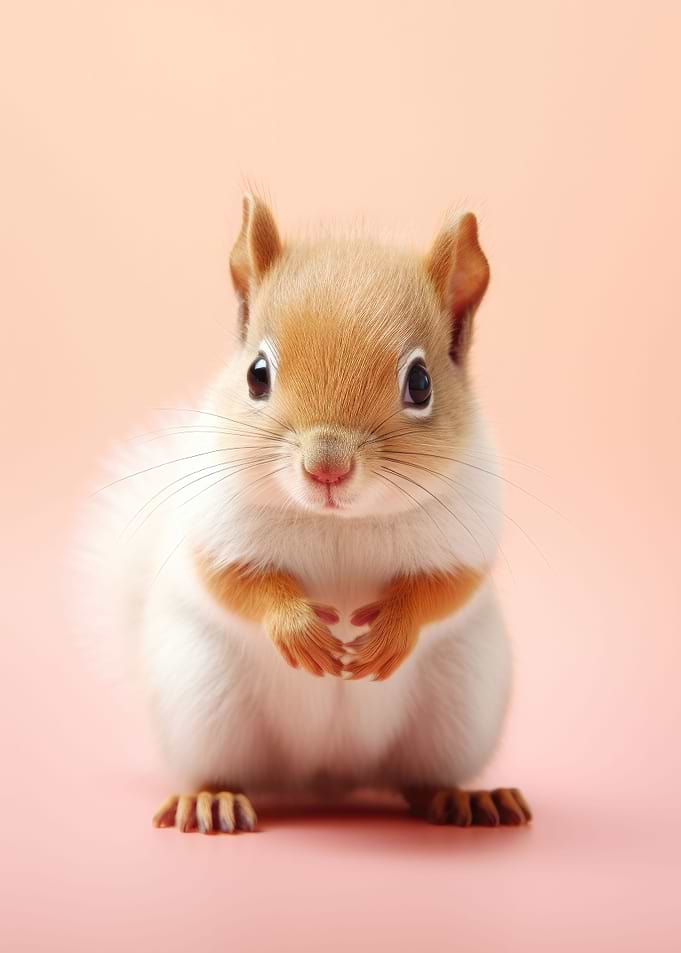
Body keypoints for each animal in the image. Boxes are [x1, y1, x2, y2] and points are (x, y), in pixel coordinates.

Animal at [81, 194, 531, 833]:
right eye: (256, 374)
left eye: (420, 383)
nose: (327, 467)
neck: (337, 522)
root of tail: (327, 776)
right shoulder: (216, 529)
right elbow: (235, 582)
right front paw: (297, 629)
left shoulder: (463, 532)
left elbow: (445, 588)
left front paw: (391, 630)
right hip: (202, 702)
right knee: (222, 770)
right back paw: (212, 798)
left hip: (461, 707)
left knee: (420, 781)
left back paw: (463, 798)